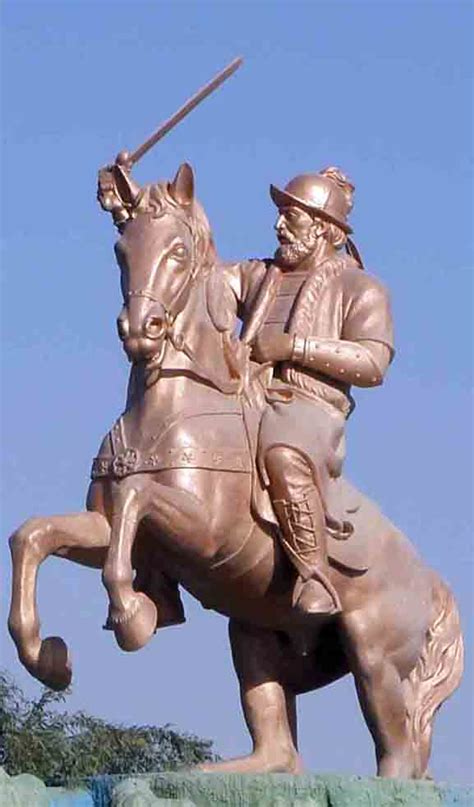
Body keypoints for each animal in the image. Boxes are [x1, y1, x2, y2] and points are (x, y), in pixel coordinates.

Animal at [8, 161, 462, 780]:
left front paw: (134, 615)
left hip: (373, 651)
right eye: (122, 248)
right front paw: (49, 658)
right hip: (252, 628)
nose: (141, 329)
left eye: (177, 250)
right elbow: (34, 535)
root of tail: (434, 585)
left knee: (400, 751)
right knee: (280, 747)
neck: (170, 409)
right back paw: (218, 772)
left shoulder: (200, 530)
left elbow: (135, 506)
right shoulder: (102, 529)